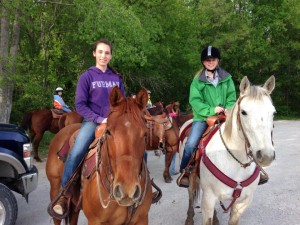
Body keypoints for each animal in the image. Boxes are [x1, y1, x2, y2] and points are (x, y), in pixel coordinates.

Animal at [46, 87, 152, 225]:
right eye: (108, 132)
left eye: (145, 134)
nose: (127, 191)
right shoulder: (95, 221)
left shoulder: (142, 219)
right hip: (54, 187)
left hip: (74, 206)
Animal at [179, 76, 276, 225]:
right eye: (243, 112)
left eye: (273, 113)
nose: (266, 155)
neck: (236, 162)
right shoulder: (208, 200)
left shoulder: (242, 203)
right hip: (191, 178)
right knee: (190, 193)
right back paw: (189, 219)